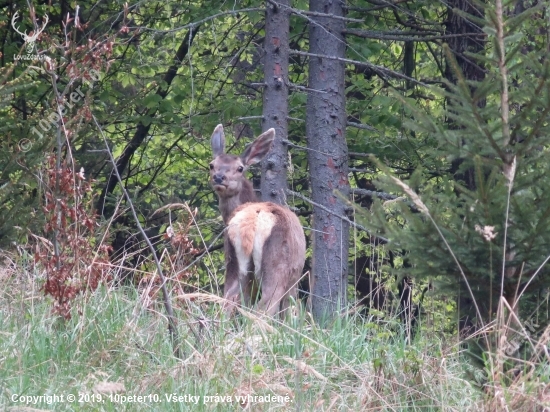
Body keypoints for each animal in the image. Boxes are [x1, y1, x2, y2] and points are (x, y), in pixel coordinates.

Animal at [210, 124, 308, 318]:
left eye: (240, 168)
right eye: (212, 165)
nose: (218, 177)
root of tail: (251, 219)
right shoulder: (294, 277)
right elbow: (289, 312)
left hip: (233, 260)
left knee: (227, 303)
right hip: (276, 263)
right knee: (265, 307)